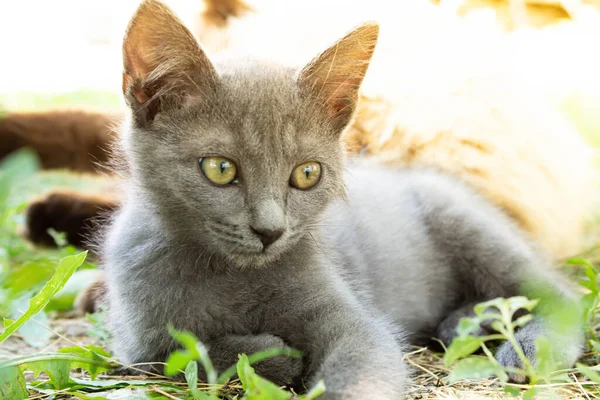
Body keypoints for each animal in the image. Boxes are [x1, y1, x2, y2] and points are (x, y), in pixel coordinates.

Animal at [105, 1, 584, 398]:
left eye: (306, 174)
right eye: (219, 169)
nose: (269, 230)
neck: (228, 274)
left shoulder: (357, 326)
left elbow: (360, 367)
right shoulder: (137, 336)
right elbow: (172, 352)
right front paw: (267, 354)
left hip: (469, 226)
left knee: (563, 295)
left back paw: (525, 349)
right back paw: (468, 323)